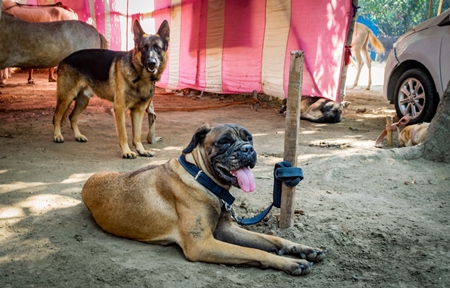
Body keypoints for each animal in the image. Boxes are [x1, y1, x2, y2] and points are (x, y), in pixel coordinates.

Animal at [52, 19, 169, 160]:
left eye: (158, 48)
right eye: (144, 48)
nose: (152, 63)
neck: (140, 76)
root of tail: (64, 59)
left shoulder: (138, 111)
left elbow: (137, 135)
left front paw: (141, 150)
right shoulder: (119, 109)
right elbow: (124, 134)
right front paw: (127, 152)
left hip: (82, 101)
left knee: (72, 117)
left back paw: (78, 136)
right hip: (67, 98)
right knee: (57, 116)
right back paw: (57, 136)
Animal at [81, 122, 326, 276]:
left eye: (249, 139)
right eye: (225, 141)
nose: (248, 149)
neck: (202, 177)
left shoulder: (225, 230)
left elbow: (271, 239)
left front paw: (302, 249)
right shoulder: (203, 244)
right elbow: (256, 251)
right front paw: (291, 262)